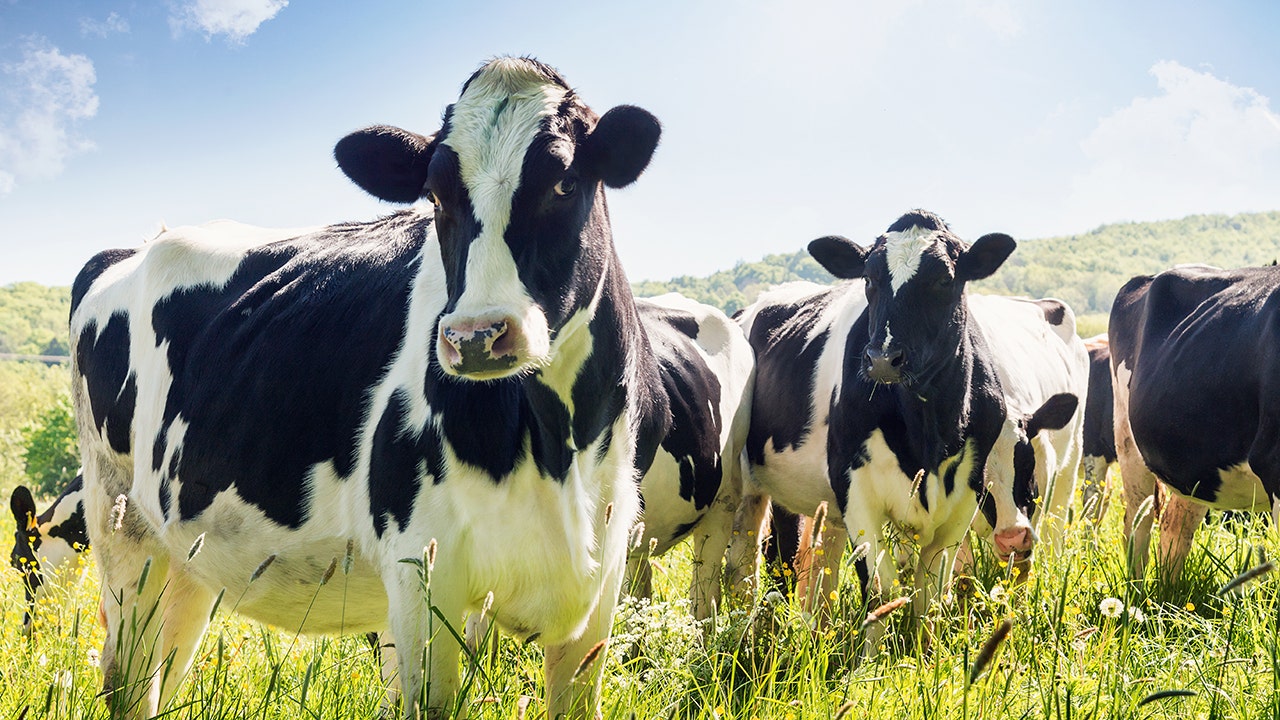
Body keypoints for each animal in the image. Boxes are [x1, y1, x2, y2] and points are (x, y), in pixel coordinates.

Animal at [70, 57, 735, 720]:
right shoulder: (423, 571)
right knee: (127, 678)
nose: (476, 335)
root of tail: (136, 245)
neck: (557, 443)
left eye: (565, 183)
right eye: (436, 195)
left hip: (189, 557)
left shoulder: (601, 578)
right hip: (122, 528)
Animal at [739, 209, 1083, 647]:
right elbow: (882, 591)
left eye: (945, 279)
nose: (883, 358)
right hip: (754, 491)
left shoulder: (961, 501)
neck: (928, 436)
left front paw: (926, 651)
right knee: (756, 562)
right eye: (869, 279)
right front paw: (873, 660)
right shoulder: (856, 491)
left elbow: (932, 592)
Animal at [1109, 263, 1280, 581]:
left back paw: (1169, 590)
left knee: (1174, 528)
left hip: (1189, 462)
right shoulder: (1273, 462)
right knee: (1137, 525)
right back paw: (1136, 592)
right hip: (1128, 445)